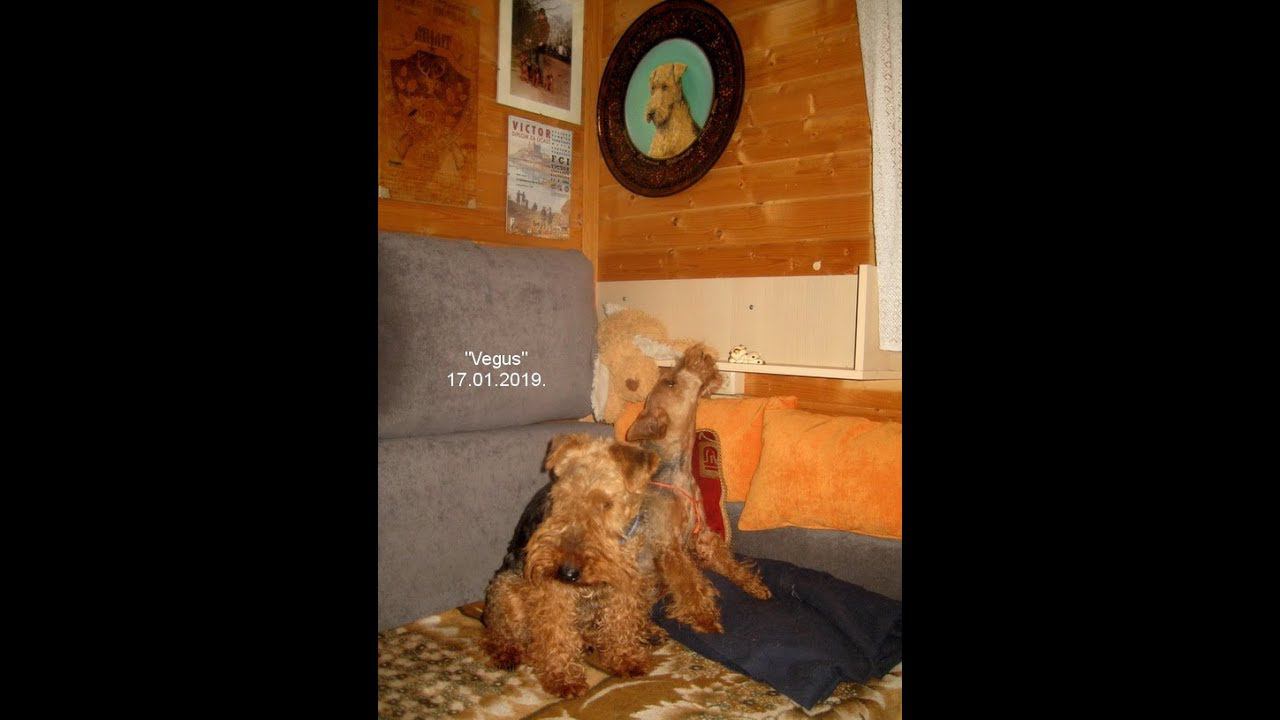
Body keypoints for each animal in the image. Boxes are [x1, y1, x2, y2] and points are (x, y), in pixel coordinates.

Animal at [481, 434, 662, 698]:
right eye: (562, 497)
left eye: (606, 504)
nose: (567, 571)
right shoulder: (554, 592)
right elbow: (557, 634)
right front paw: (563, 679)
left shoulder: (627, 583)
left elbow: (622, 622)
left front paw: (626, 658)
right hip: (507, 590)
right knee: (499, 632)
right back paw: (508, 653)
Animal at [627, 344, 772, 634]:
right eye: (670, 382)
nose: (697, 349)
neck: (680, 473)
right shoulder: (670, 549)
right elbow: (690, 585)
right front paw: (706, 618)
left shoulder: (703, 535)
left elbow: (728, 562)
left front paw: (753, 585)